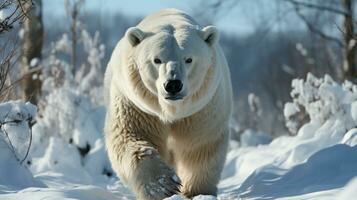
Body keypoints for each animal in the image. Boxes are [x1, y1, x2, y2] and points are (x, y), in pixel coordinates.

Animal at [103, 8, 231, 200]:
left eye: (188, 59)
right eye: (157, 60)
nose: (173, 85)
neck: (172, 111)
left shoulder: (201, 110)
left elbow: (199, 146)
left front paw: (197, 191)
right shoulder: (138, 107)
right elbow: (131, 137)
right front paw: (164, 186)